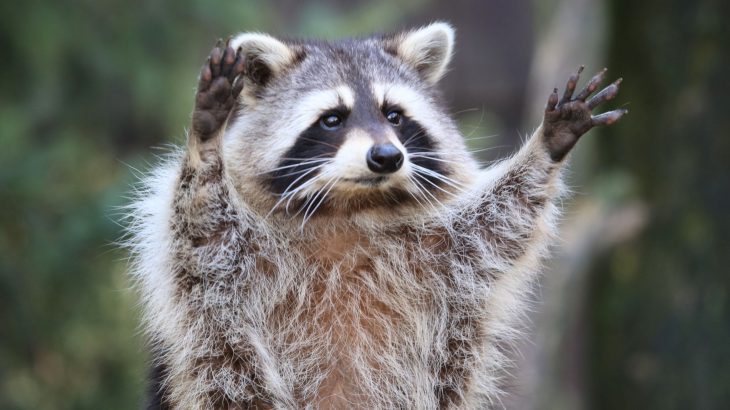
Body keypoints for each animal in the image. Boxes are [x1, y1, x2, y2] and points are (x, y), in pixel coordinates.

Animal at [126, 22, 626, 409]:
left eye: (394, 115)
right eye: (332, 119)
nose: (386, 157)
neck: (350, 207)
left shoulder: (444, 251)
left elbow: (503, 220)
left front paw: (546, 146)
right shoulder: (233, 264)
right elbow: (202, 229)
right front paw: (206, 140)